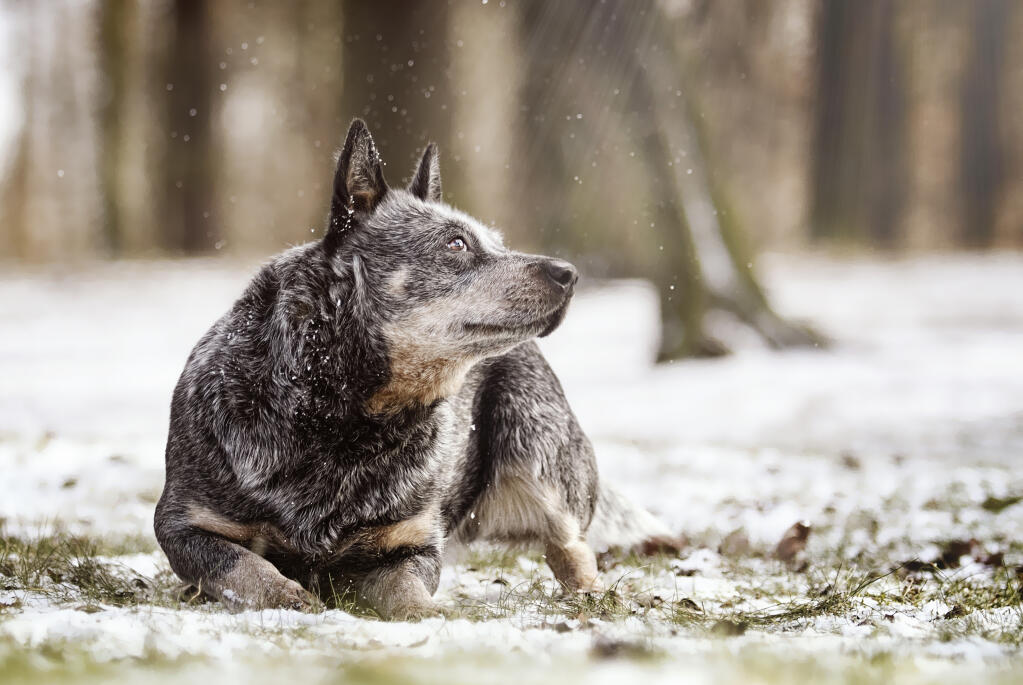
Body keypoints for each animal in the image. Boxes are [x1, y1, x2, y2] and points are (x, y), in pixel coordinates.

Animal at [153, 119, 671, 621]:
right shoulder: (182, 525)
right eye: (457, 243)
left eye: (498, 244)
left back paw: (594, 598)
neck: (341, 421)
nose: (569, 273)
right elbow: (241, 564)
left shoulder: (411, 545)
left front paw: (428, 614)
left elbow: (406, 591)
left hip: (539, 447)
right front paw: (285, 594)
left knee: (570, 545)